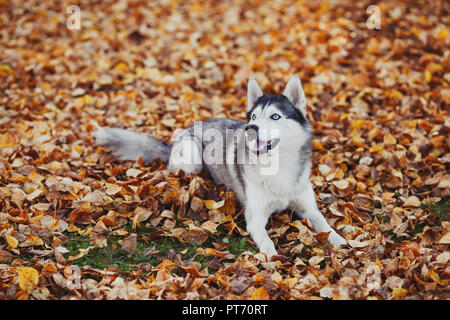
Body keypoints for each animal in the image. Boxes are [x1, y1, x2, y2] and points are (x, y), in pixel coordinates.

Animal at [95, 76, 346, 258]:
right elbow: (265, 239)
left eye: (275, 116)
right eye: (254, 116)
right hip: (192, 156)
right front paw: (271, 254)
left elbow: (323, 222)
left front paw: (340, 240)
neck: (277, 166)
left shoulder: (308, 207)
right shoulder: (255, 218)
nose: (251, 128)